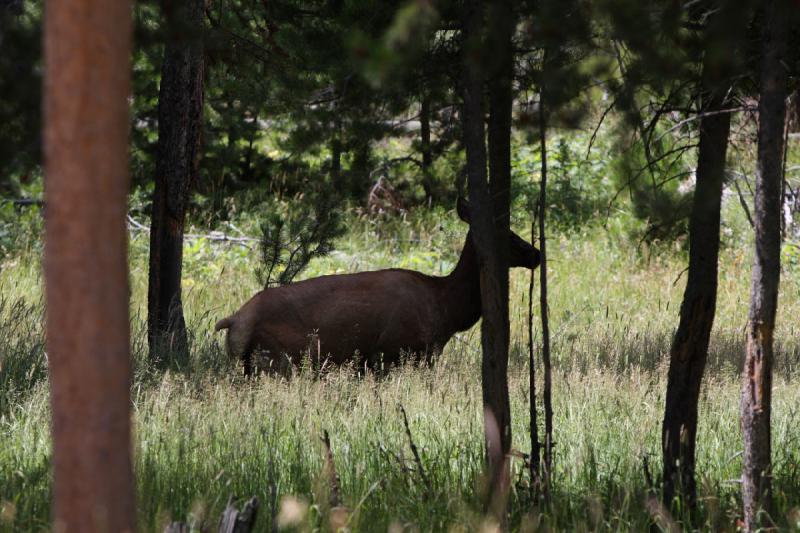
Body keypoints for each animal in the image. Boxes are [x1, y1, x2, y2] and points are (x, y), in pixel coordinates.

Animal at [212, 198, 540, 374]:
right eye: (507, 235)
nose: (535, 253)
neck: (446, 310)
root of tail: (233, 321)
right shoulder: (394, 351)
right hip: (279, 360)